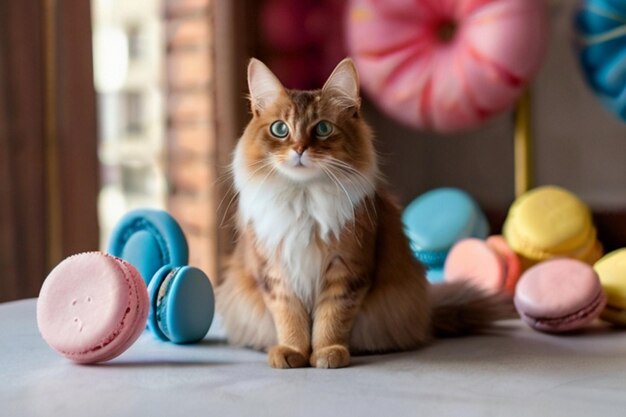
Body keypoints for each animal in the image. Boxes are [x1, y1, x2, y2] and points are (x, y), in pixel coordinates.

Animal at [216, 56, 512, 368]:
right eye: (280, 129)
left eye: (323, 129)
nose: (299, 149)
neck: (304, 197)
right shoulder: (276, 273)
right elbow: (290, 319)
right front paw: (292, 352)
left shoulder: (346, 269)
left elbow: (331, 319)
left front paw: (327, 353)